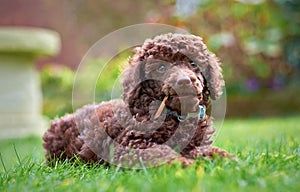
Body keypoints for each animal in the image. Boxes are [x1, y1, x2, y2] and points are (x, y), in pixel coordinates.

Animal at [42, 33, 230, 168]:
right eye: (161, 68)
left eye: (193, 63)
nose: (184, 81)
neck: (175, 115)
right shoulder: (131, 145)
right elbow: (159, 153)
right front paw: (184, 164)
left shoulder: (193, 144)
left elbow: (205, 150)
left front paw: (225, 158)